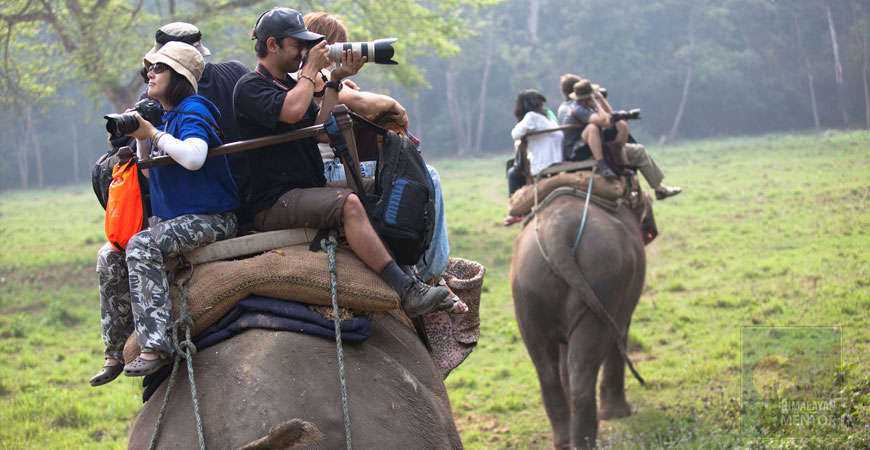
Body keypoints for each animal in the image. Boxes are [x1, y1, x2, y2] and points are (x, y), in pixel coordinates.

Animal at [510, 192, 648, 448]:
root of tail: (557, 231)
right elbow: (621, 332)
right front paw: (618, 415)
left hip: (526, 286)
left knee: (546, 367)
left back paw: (565, 440)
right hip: (605, 276)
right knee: (584, 364)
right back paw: (585, 441)